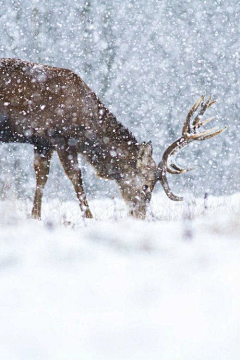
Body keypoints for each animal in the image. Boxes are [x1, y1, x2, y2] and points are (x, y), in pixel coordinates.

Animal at [0, 58, 226, 219]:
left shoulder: (41, 141)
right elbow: (75, 177)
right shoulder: (61, 137)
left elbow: (41, 177)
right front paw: (89, 217)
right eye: (146, 185)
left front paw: (35, 216)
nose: (140, 215)